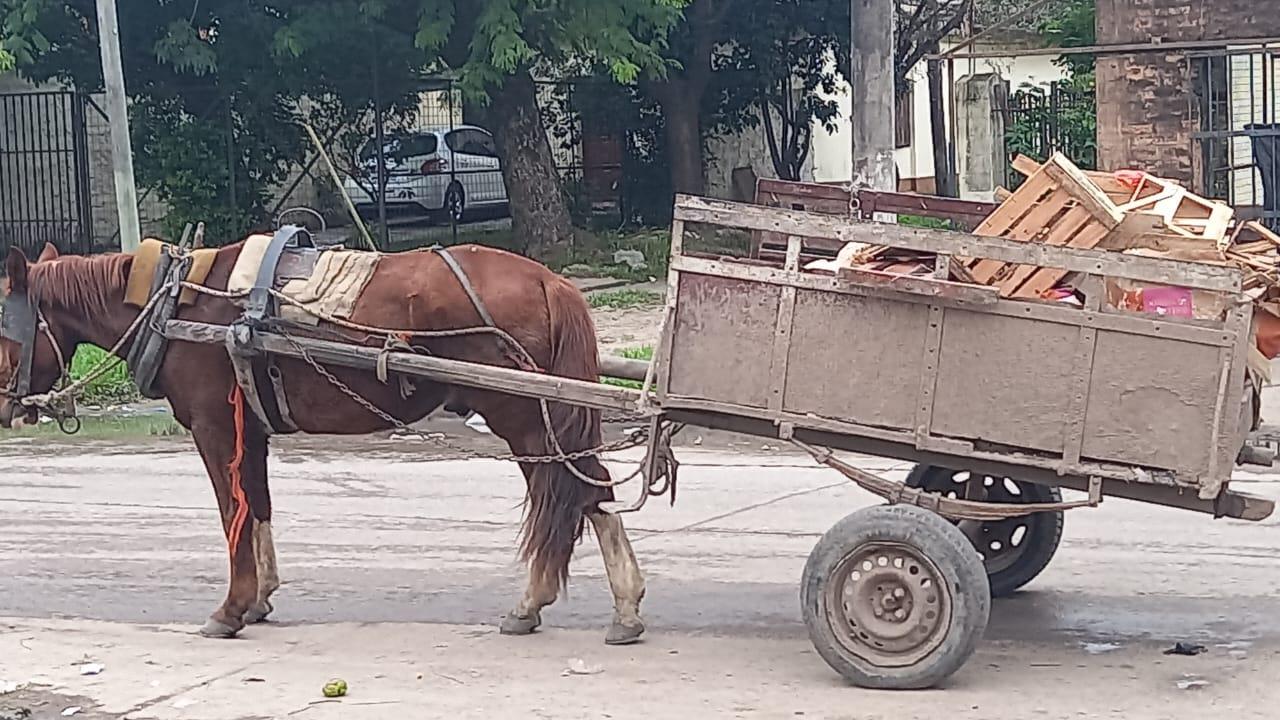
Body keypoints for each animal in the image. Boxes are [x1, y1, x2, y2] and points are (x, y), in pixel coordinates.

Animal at [0, 241, 648, 645]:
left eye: (3, 332)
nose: (8, 409)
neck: (177, 306)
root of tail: (548, 279)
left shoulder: (214, 428)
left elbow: (232, 513)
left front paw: (229, 610)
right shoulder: (252, 431)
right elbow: (258, 507)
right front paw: (258, 599)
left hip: (524, 418)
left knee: (580, 490)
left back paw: (593, 604)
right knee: (579, 492)